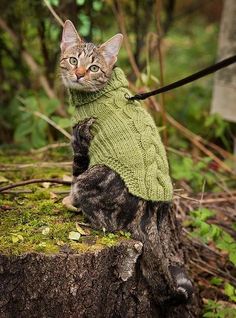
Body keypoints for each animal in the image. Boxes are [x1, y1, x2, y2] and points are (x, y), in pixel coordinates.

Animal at [60, 20, 193, 306]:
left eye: (94, 67)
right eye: (73, 59)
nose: (78, 74)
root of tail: (149, 215)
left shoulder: (81, 144)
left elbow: (75, 173)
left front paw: (69, 200)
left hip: (96, 174)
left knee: (105, 222)